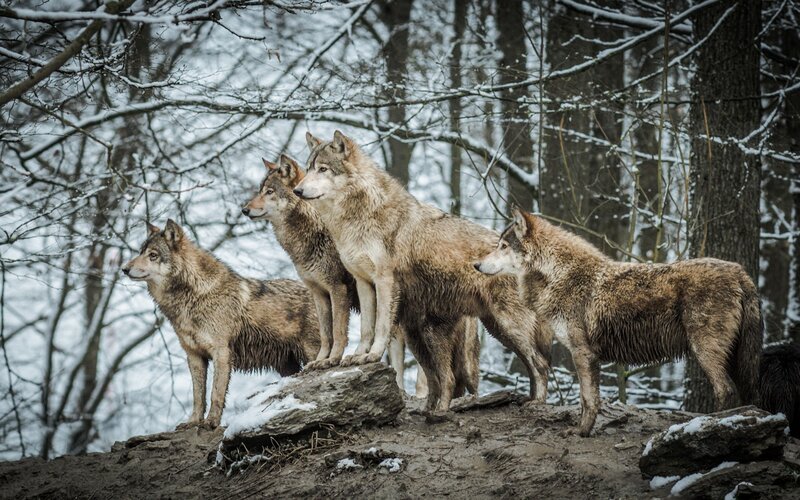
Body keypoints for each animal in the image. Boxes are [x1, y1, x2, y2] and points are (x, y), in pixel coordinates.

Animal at [122, 219, 320, 429]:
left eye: (153, 255)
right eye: (140, 252)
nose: (124, 269)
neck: (193, 296)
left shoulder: (222, 353)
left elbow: (216, 393)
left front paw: (211, 422)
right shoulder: (194, 356)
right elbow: (198, 396)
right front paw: (193, 422)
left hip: (310, 353)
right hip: (286, 366)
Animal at [242, 154, 480, 398]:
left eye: (269, 191)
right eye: (260, 190)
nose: (244, 210)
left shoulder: (338, 289)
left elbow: (338, 332)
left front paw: (332, 360)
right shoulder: (319, 293)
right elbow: (326, 335)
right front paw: (319, 361)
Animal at [293, 131, 550, 412]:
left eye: (323, 169)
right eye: (308, 168)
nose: (297, 190)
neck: (357, 217)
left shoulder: (385, 281)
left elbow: (380, 326)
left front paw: (373, 355)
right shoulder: (363, 283)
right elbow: (366, 328)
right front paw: (359, 356)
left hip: (507, 325)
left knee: (540, 364)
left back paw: (537, 403)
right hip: (495, 329)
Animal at [475, 207, 762, 436]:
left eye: (503, 246)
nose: (476, 265)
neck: (558, 275)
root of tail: (741, 272)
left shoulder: (582, 353)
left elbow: (587, 399)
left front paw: (581, 432)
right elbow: (590, 398)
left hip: (705, 351)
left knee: (725, 390)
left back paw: (706, 425)